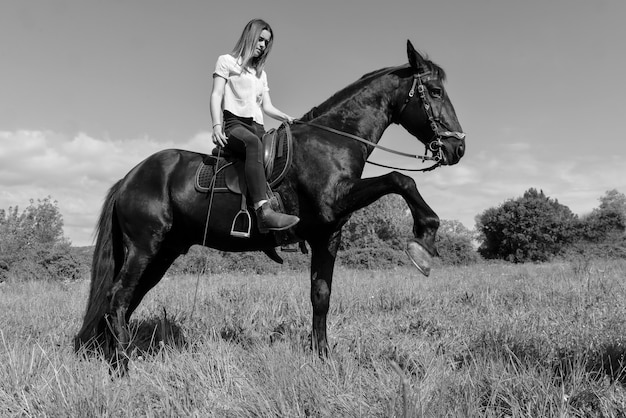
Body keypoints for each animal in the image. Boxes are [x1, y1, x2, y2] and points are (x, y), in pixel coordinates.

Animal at [74, 40, 464, 370]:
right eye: (435, 91)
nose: (458, 147)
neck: (333, 140)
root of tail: (130, 177)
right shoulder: (334, 201)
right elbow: (401, 179)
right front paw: (424, 239)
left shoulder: (328, 232)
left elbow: (321, 296)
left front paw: (323, 358)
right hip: (144, 248)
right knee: (118, 298)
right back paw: (121, 366)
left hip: (161, 253)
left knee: (123, 301)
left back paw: (113, 354)